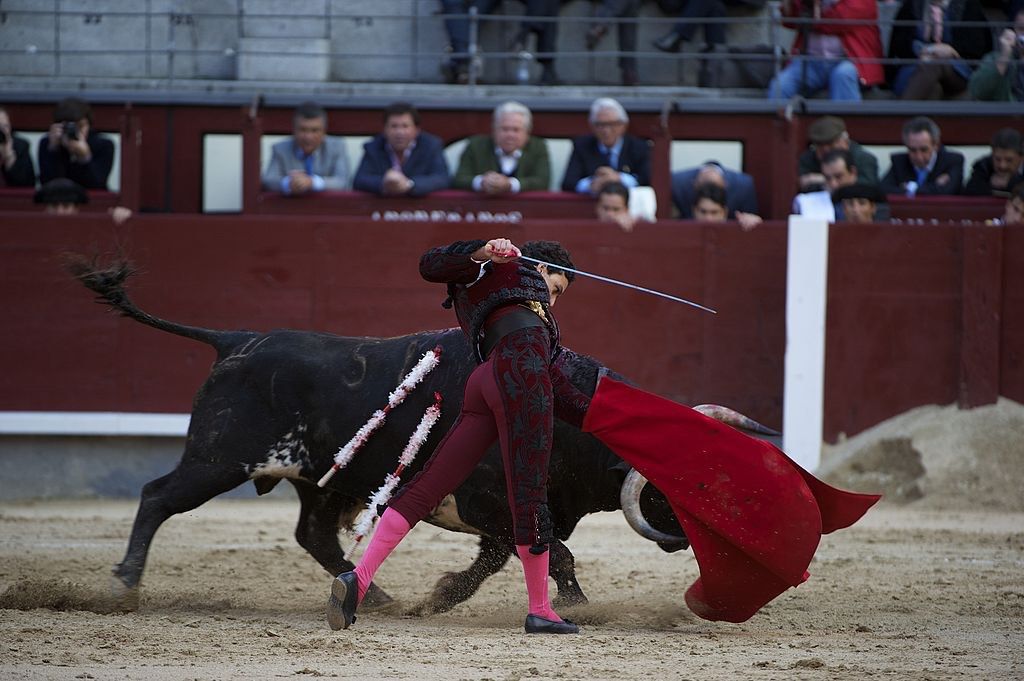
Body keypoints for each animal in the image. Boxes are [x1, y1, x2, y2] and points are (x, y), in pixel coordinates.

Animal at [74, 259, 696, 610]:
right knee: (157, 496)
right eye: (671, 489)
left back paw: (375, 595)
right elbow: (552, 551)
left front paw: (442, 596)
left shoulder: (504, 512)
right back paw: (124, 587)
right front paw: (577, 605)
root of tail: (237, 339)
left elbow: (505, 555)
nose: (690, 541)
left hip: (321, 483)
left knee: (314, 535)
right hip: (219, 459)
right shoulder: (486, 500)